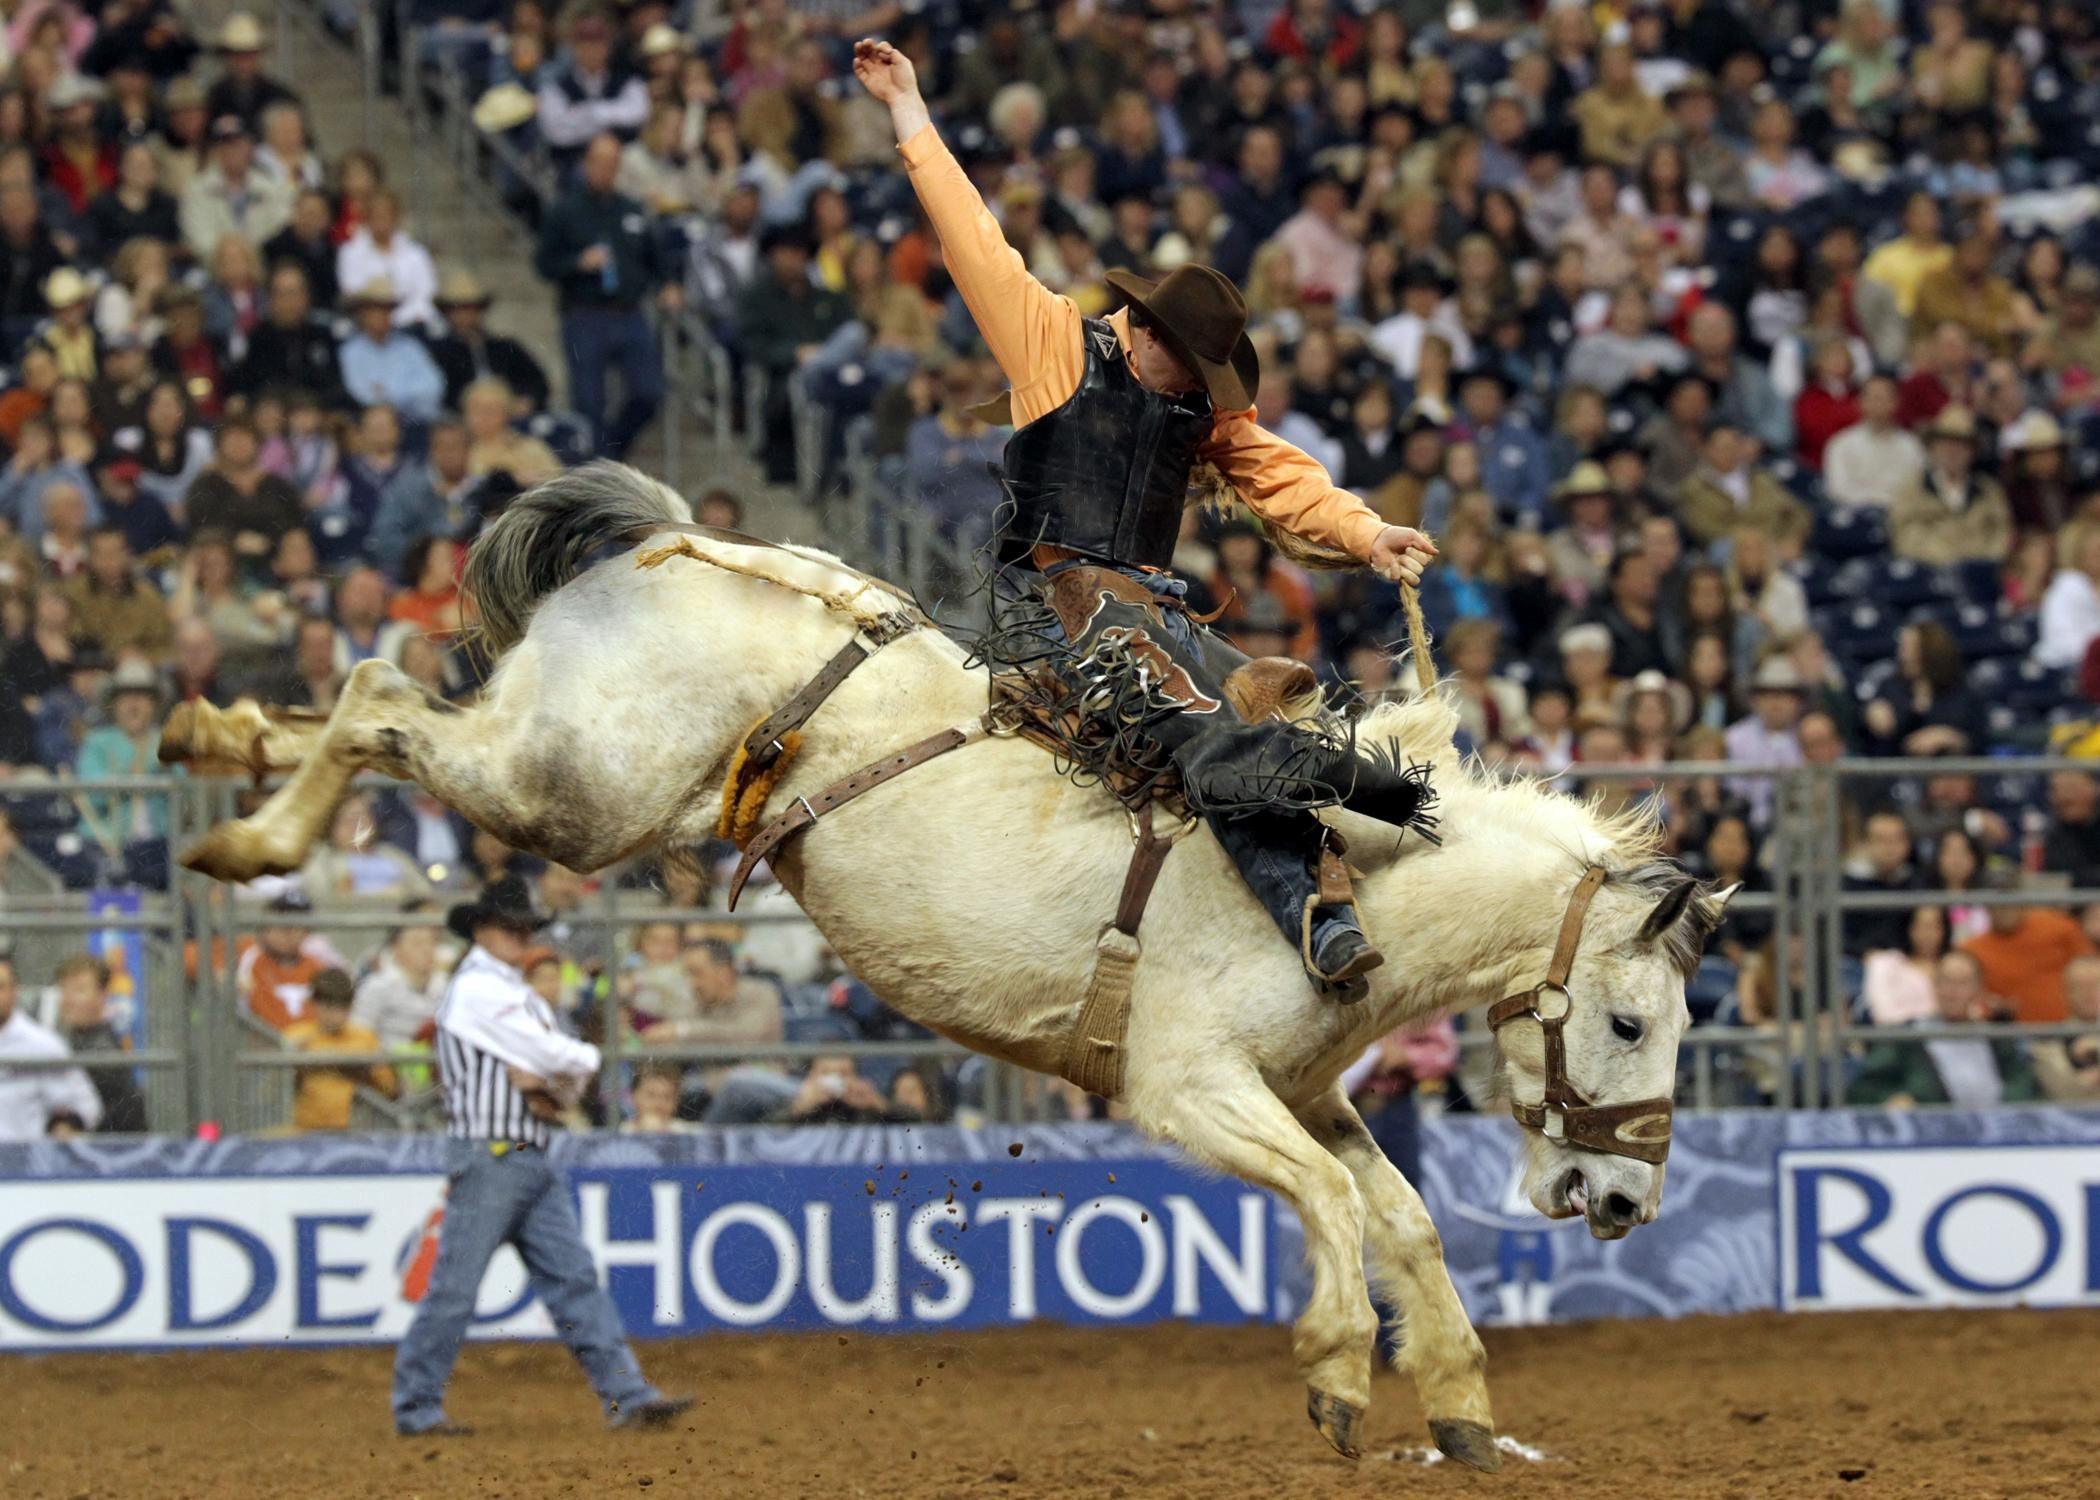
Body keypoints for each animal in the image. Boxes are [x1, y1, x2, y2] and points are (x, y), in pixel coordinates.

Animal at [163, 462, 1730, 1470]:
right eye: (1632, 1022)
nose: (1624, 1203)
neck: (1340, 868)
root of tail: (666, 546)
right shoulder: (1187, 1088)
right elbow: (1335, 1208)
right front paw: (1341, 1376)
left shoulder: (1309, 1090)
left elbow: (1399, 1216)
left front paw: (1462, 1407)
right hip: (572, 791)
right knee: (379, 698)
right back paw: (246, 834)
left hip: (551, 761)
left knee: (367, 703)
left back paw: (214, 737)